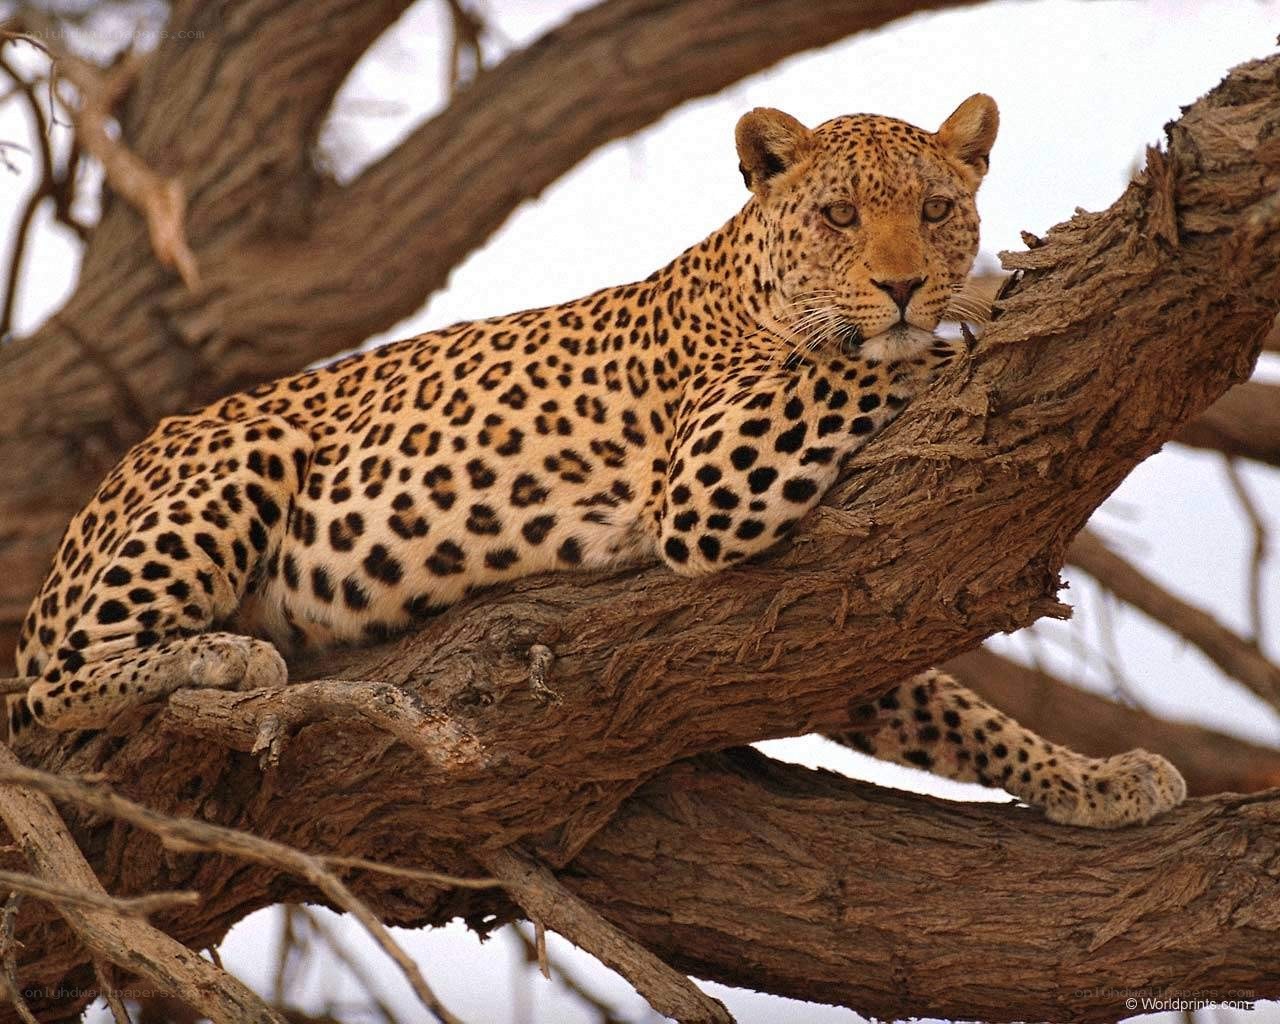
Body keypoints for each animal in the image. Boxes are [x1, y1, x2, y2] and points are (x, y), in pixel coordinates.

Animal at [10, 95, 1185, 829]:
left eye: (937, 209)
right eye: (839, 215)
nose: (902, 284)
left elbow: (951, 712)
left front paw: (1097, 780)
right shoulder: (711, 476)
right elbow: (864, 359)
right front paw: (981, 312)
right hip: (239, 457)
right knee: (59, 683)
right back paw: (222, 658)